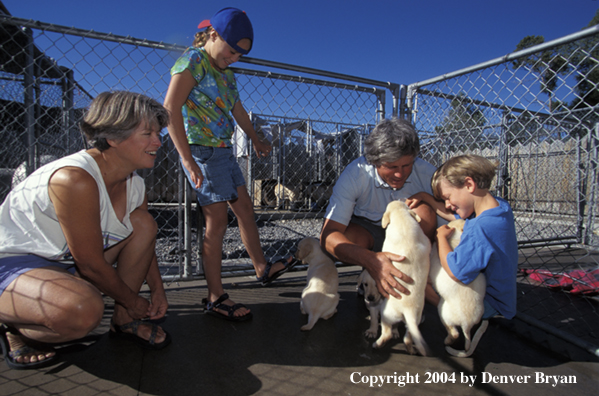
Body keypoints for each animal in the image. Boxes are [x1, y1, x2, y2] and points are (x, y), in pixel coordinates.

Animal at [372, 201, 434, 356]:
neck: (403, 219)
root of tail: (409, 310)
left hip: (386, 313)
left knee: (387, 333)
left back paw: (377, 344)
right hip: (415, 322)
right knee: (408, 337)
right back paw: (410, 349)